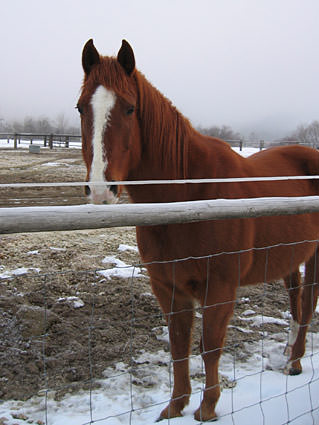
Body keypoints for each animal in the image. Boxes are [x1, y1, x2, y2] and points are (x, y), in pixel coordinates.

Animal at [78, 39, 319, 420]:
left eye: (130, 109)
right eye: (80, 109)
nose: (101, 191)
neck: (190, 193)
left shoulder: (219, 288)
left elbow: (210, 347)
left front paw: (207, 408)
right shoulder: (168, 287)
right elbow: (179, 345)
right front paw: (175, 406)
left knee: (308, 303)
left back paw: (295, 362)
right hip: (290, 257)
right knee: (296, 301)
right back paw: (289, 355)